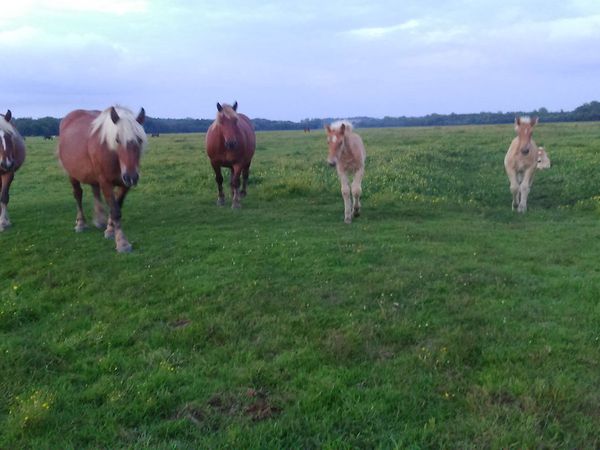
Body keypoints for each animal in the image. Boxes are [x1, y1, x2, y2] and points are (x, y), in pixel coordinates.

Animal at [58, 106, 147, 253]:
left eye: (139, 140)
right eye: (117, 139)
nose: (131, 177)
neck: (113, 155)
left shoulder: (124, 184)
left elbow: (116, 206)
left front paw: (110, 230)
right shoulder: (106, 182)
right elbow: (115, 211)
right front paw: (122, 242)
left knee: (95, 191)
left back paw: (99, 220)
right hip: (72, 174)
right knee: (78, 195)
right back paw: (81, 223)